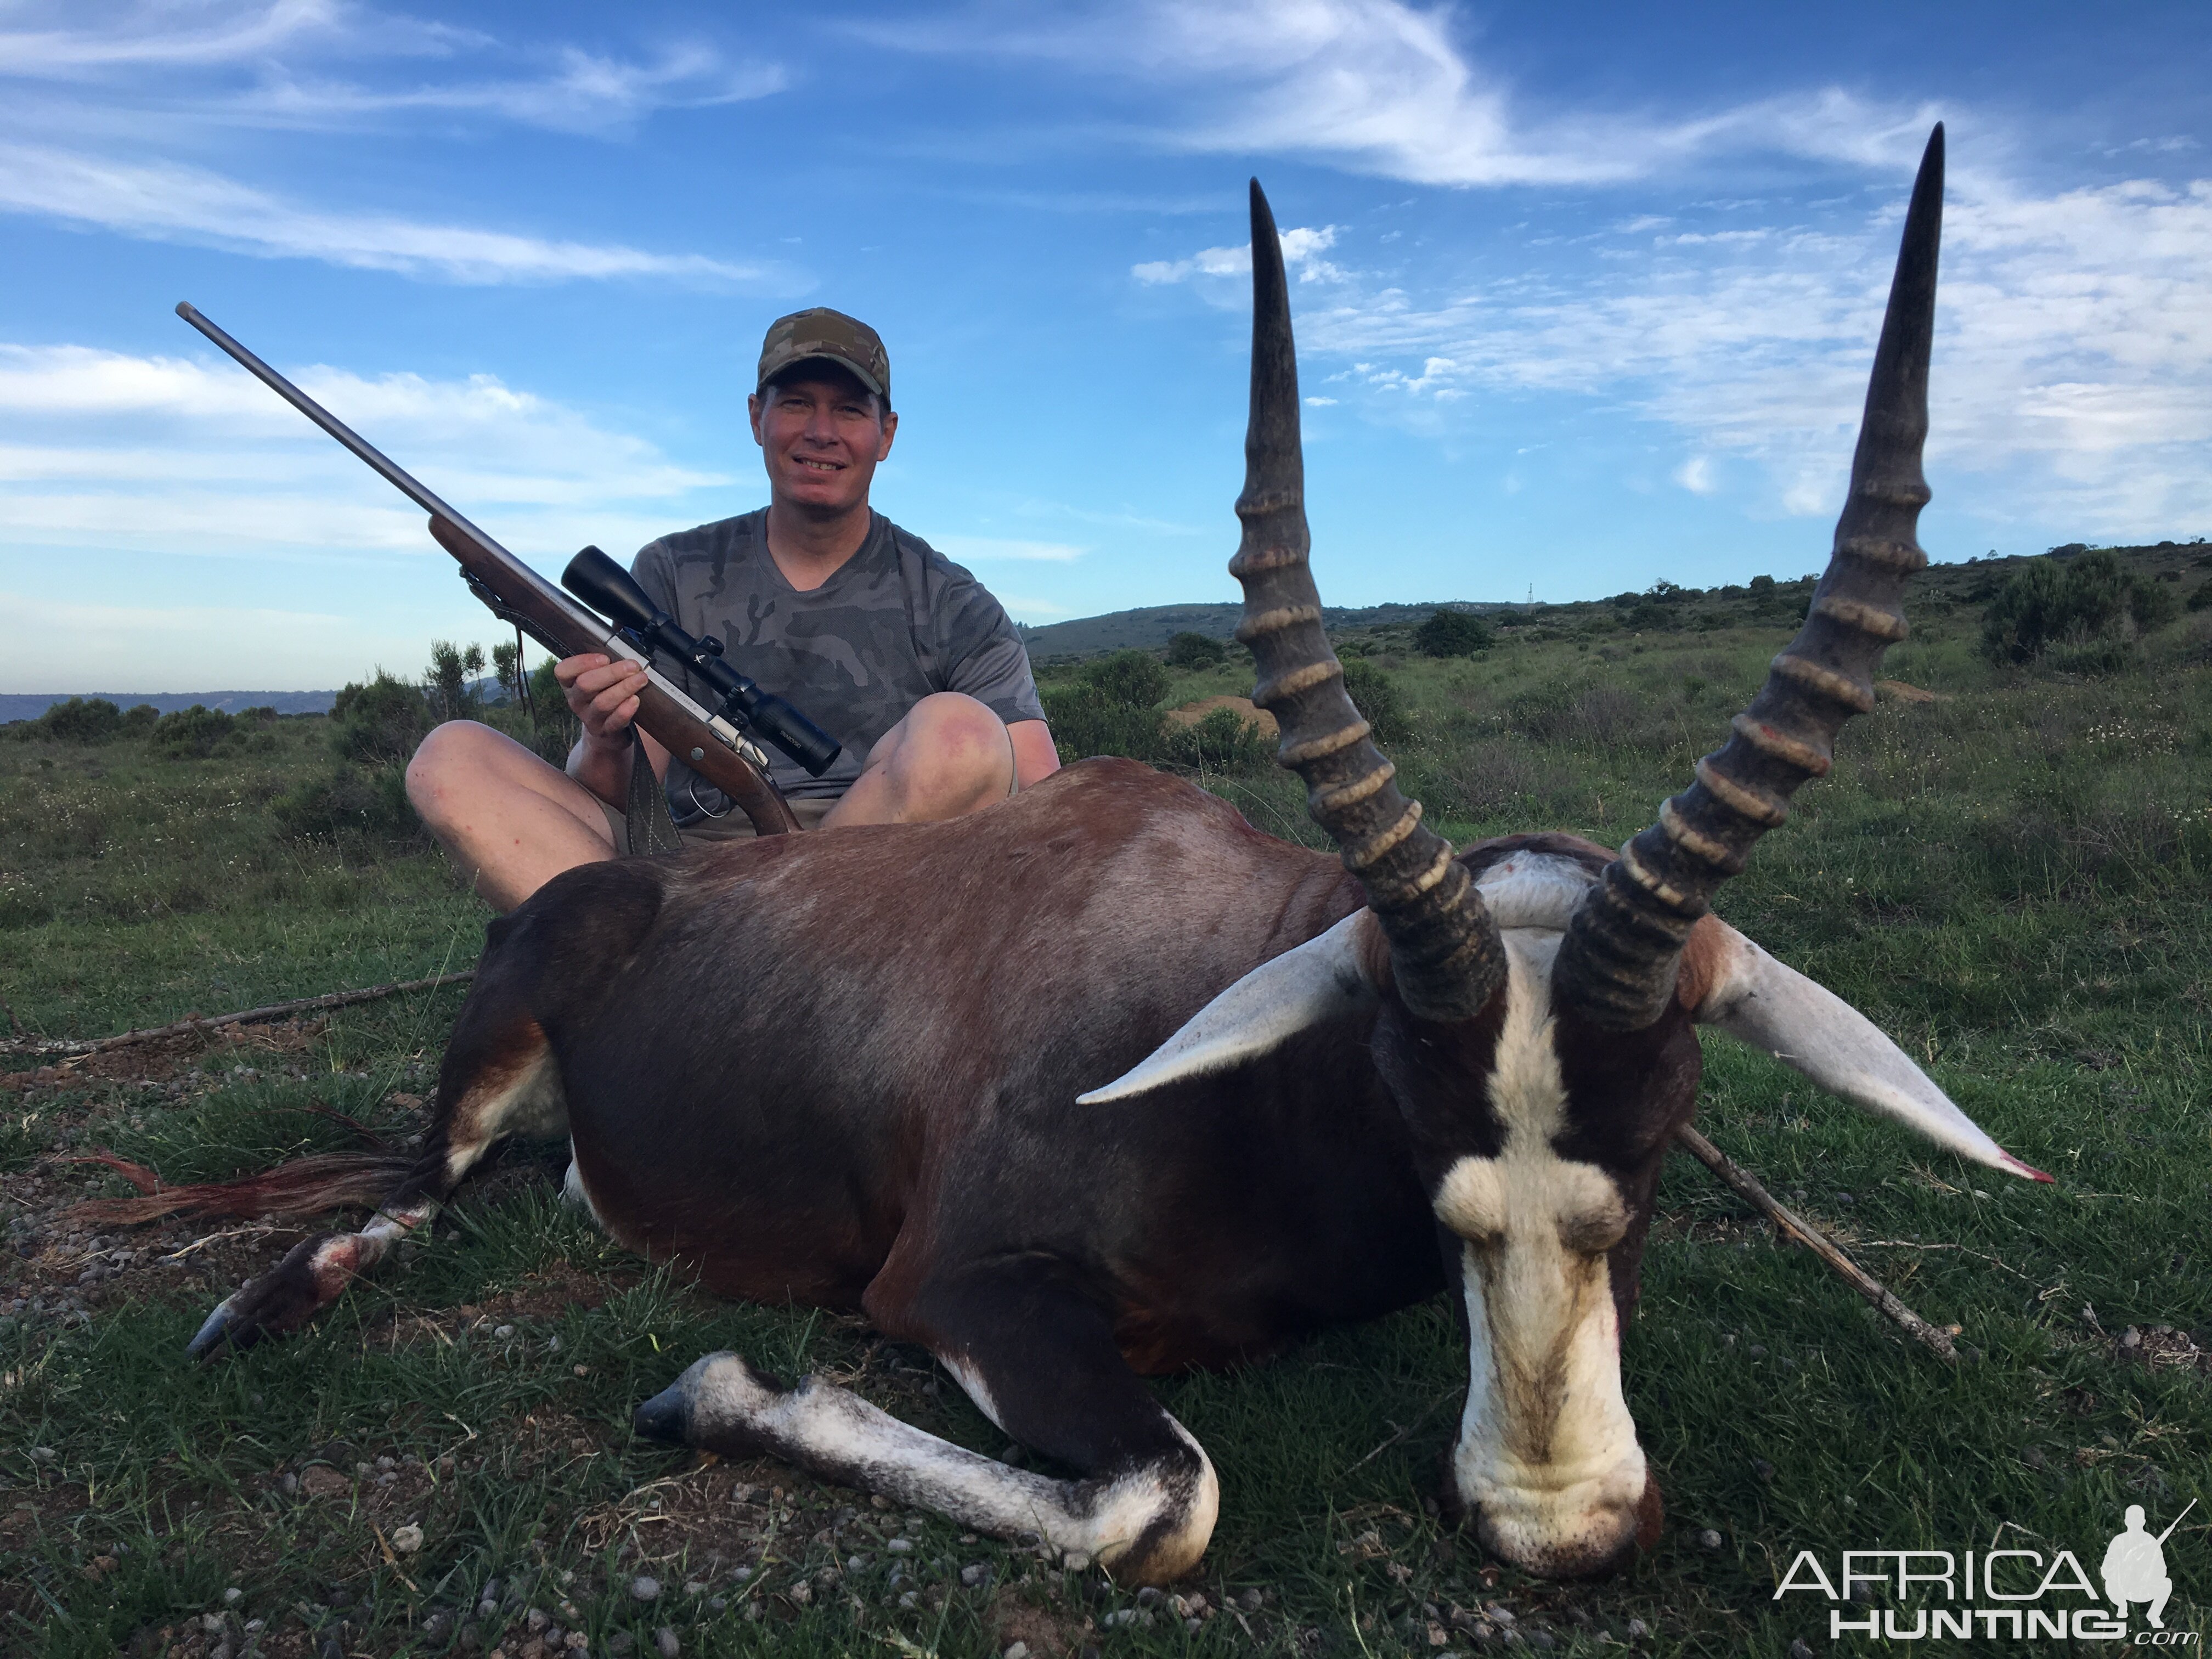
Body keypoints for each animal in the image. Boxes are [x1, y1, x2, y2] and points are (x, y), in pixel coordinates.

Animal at [181, 129, 2044, 1583]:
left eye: (1658, 1144)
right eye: (1414, 1125)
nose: (1557, 1527)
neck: (1242, 1078)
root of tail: (638, 890)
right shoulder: (961, 1290)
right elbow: (1168, 1498)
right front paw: (712, 1392)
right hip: (494, 1049)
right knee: (411, 1193)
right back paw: (254, 1311)